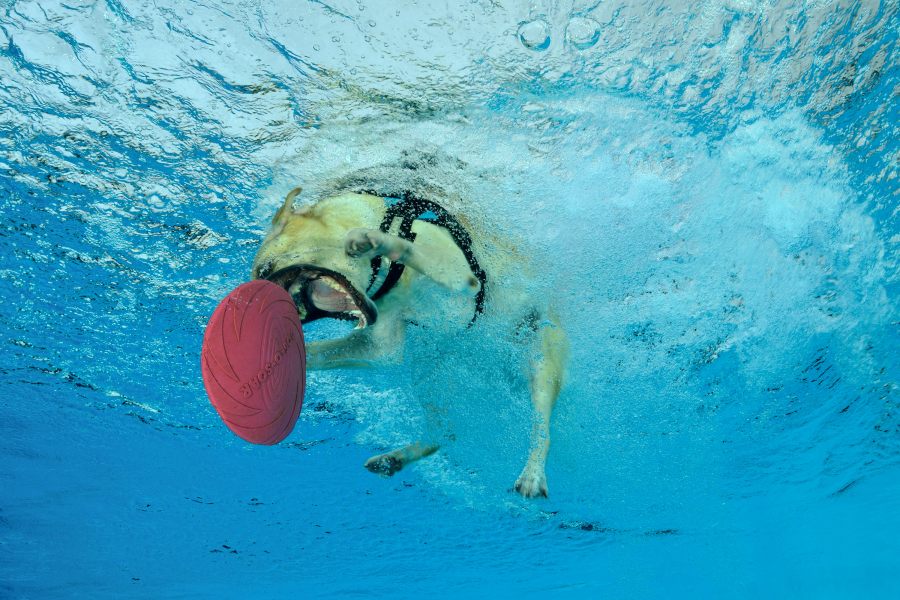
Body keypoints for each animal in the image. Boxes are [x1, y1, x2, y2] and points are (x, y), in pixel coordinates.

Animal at [250, 186, 568, 498]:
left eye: (265, 271)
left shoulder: (462, 277)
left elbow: (408, 247)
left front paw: (373, 240)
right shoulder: (382, 347)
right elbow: (317, 352)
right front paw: (267, 363)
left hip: (541, 361)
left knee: (542, 428)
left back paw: (532, 474)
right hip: (430, 377)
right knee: (444, 433)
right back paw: (393, 459)